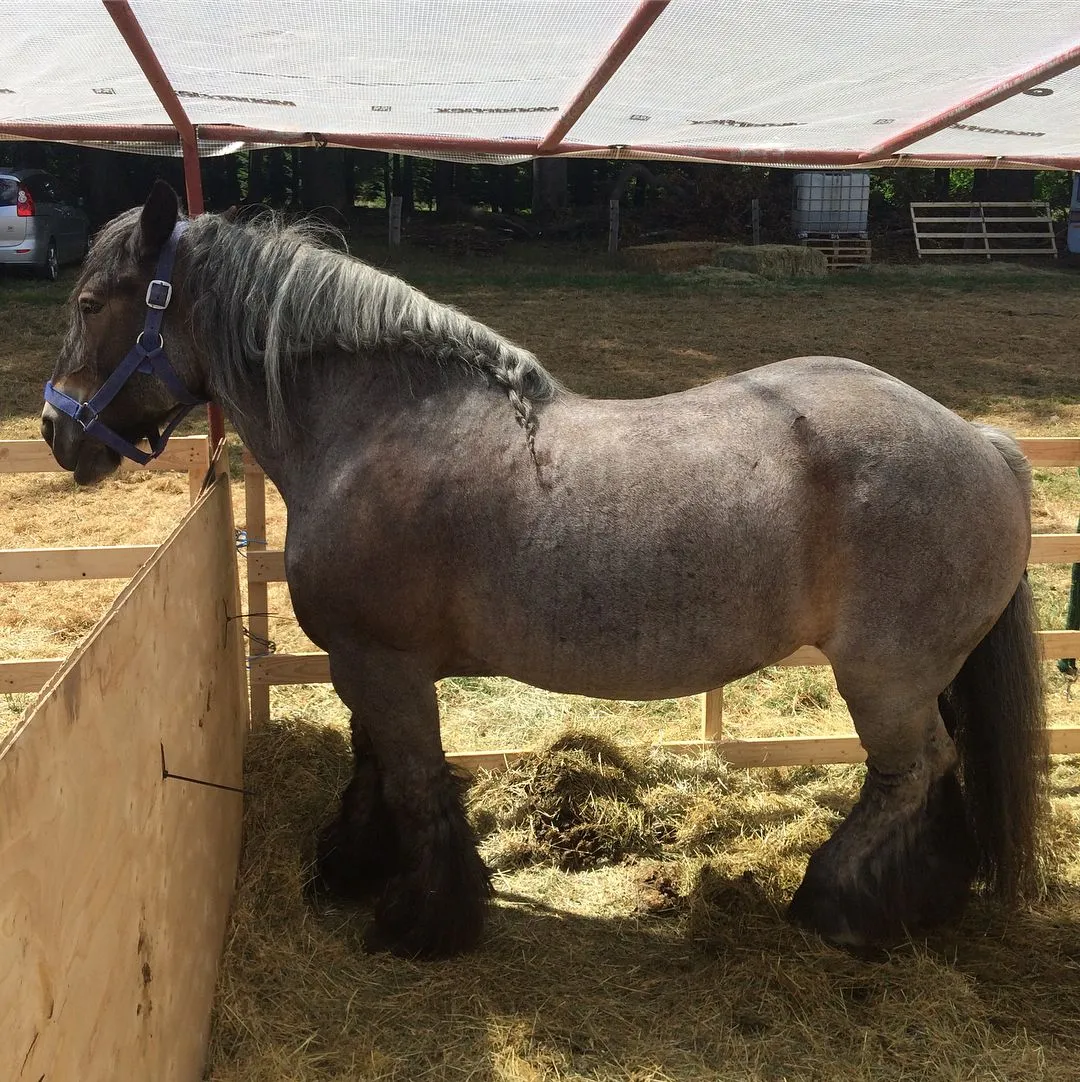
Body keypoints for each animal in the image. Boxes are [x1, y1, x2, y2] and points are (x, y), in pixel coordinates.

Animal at [41, 181, 1048, 958]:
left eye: (91, 304)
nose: (55, 430)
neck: (373, 429)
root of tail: (983, 441)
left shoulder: (386, 664)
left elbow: (415, 780)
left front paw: (423, 920)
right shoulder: (366, 665)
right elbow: (373, 766)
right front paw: (351, 868)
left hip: (886, 679)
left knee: (910, 775)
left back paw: (837, 904)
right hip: (922, 678)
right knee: (937, 776)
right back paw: (925, 899)